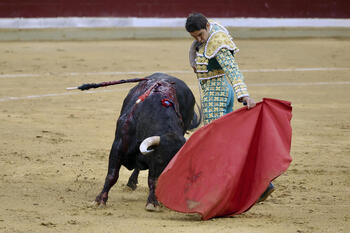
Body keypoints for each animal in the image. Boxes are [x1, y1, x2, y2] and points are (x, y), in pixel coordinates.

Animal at [94, 72, 201, 209]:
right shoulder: (118, 147)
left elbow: (152, 180)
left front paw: (152, 202)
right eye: (160, 158)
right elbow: (112, 175)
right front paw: (100, 200)